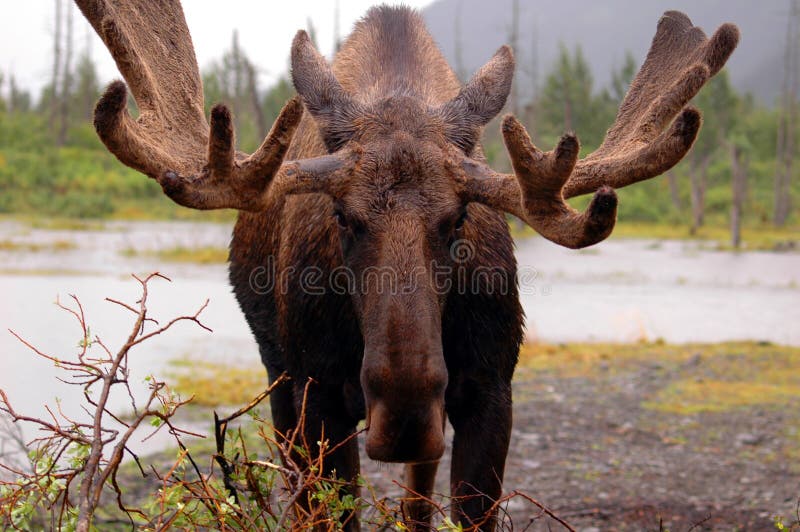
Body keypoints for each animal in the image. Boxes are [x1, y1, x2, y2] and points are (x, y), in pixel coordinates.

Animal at [75, 1, 736, 528]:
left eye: (458, 219)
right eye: (342, 217)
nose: (405, 411)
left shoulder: (492, 390)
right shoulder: (317, 396)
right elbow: (331, 513)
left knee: (416, 503)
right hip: (281, 381)